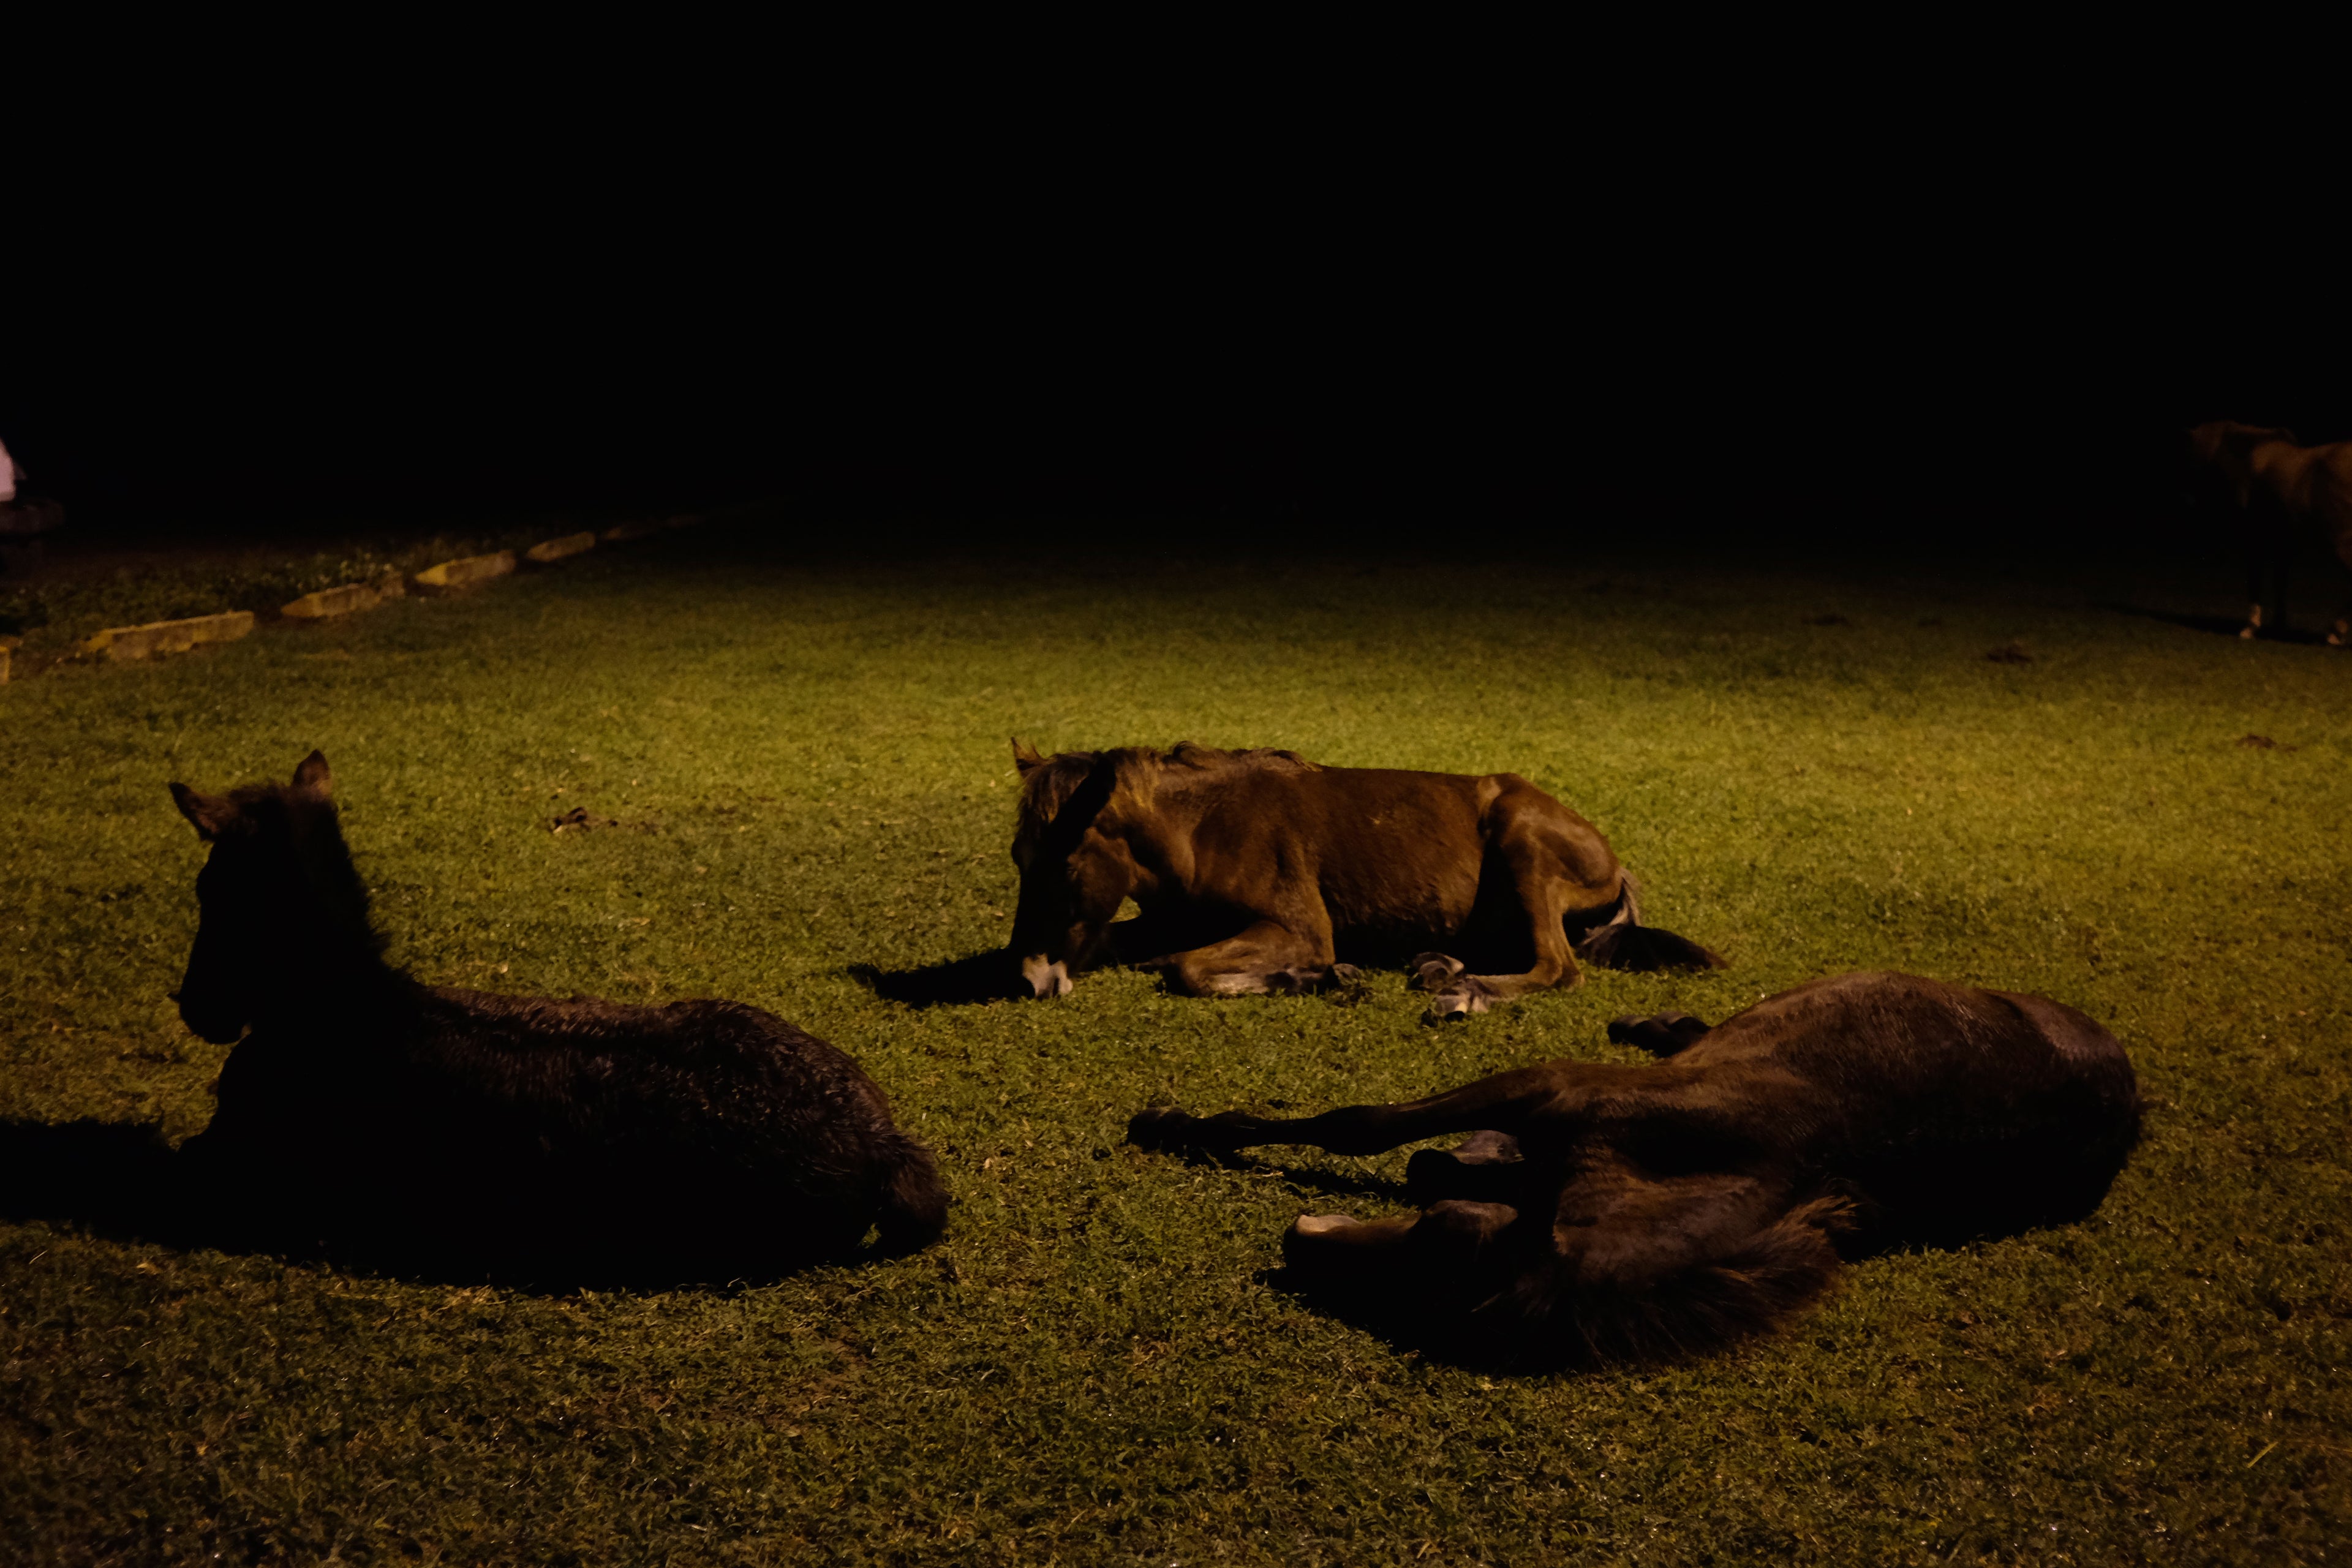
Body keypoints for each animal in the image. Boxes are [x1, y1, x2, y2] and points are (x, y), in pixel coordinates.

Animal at [1007, 740, 1723, 1019]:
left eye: (1063, 863)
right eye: (1018, 857)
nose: (1031, 979)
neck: (1201, 828)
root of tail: (1612, 860)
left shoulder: (1297, 929)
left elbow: (1186, 968)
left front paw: (1319, 978)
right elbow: (1140, 944)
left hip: (1522, 844)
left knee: (1556, 968)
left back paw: (1466, 992)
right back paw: (1439, 965)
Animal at [1128, 971, 2141, 1367]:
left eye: (1441, 1264)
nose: (1294, 1250)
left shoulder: (1546, 1101)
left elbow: (1396, 1149)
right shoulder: (1546, 1087)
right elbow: (1365, 1129)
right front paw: (1179, 1125)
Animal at [2186, 421, 2352, 644]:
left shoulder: (2254, 539)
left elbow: (2255, 581)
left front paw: (2251, 627)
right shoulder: (2283, 541)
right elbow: (2280, 583)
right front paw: (2279, 627)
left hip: (2342, 542)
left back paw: (2336, 632)